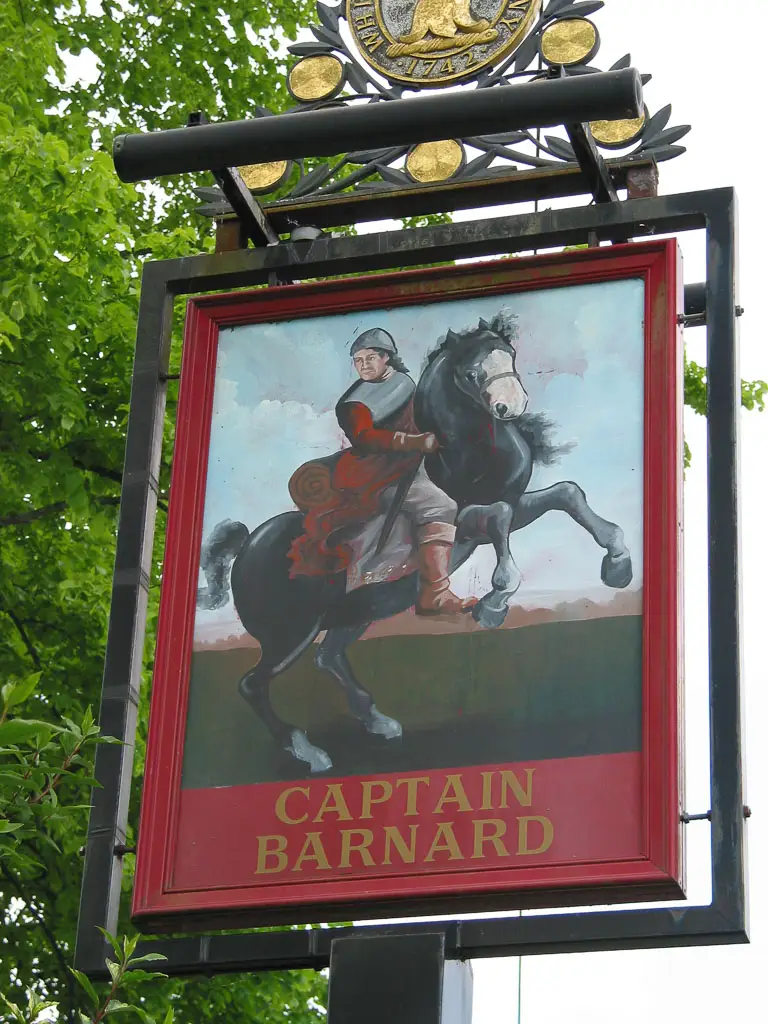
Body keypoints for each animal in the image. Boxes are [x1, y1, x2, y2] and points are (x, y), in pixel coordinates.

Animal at [196, 311, 633, 773]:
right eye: (471, 372)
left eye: (509, 354)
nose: (510, 406)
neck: (463, 456)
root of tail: (247, 547)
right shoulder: (465, 518)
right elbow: (499, 519)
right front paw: (492, 604)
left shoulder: (517, 502)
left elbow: (567, 493)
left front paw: (618, 563)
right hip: (289, 633)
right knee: (252, 685)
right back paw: (307, 750)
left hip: (358, 611)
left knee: (328, 657)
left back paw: (377, 720)